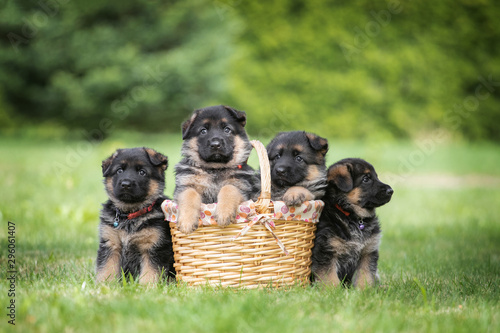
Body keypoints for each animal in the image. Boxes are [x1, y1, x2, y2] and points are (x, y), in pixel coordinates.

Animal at [96, 148, 176, 282]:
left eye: (142, 172)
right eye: (119, 170)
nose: (125, 184)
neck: (130, 214)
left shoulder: (153, 248)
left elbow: (150, 273)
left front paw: (147, 286)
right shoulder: (111, 245)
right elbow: (106, 269)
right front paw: (104, 285)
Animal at [174, 104, 260, 233]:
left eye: (227, 129)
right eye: (203, 131)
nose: (215, 144)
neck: (215, 169)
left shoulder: (241, 187)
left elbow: (229, 188)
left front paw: (224, 213)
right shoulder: (184, 185)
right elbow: (189, 194)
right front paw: (187, 221)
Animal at [310, 158, 392, 288]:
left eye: (376, 177)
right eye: (366, 179)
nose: (391, 191)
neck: (353, 217)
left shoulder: (368, 252)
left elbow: (366, 275)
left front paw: (365, 290)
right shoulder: (325, 251)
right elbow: (329, 277)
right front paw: (333, 291)